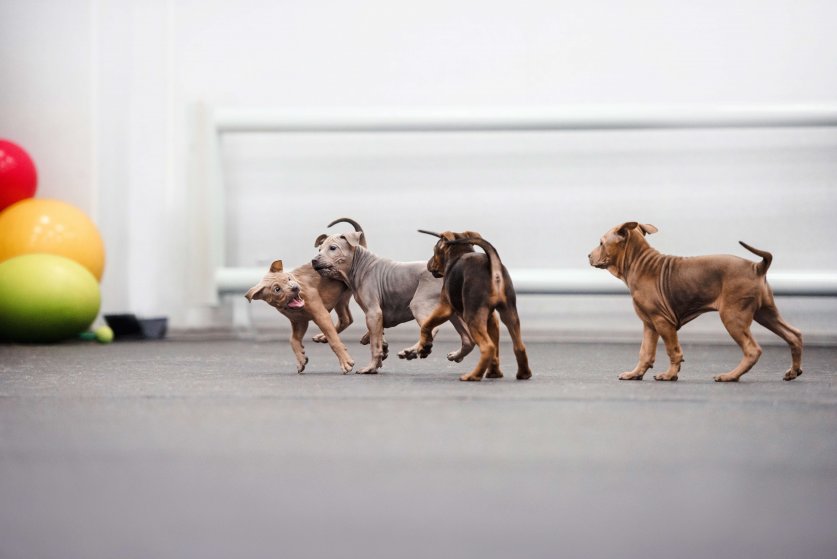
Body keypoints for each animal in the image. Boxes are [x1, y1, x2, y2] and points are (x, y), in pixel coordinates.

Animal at [396, 230, 528, 382]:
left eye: (435, 250)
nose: (428, 265)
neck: (460, 253)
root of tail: (493, 269)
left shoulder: (445, 309)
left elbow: (426, 325)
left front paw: (424, 347)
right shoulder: (492, 319)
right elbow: (496, 351)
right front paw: (494, 373)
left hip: (472, 318)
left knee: (488, 347)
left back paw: (473, 375)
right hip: (509, 314)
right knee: (518, 346)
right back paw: (523, 374)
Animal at [588, 223, 804, 384]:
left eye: (601, 243)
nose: (588, 256)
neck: (638, 263)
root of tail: (757, 266)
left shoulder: (663, 322)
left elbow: (673, 351)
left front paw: (669, 375)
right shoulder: (649, 324)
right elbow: (645, 352)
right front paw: (635, 374)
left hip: (733, 316)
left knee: (753, 350)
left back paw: (730, 376)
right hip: (766, 313)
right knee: (794, 335)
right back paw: (793, 372)